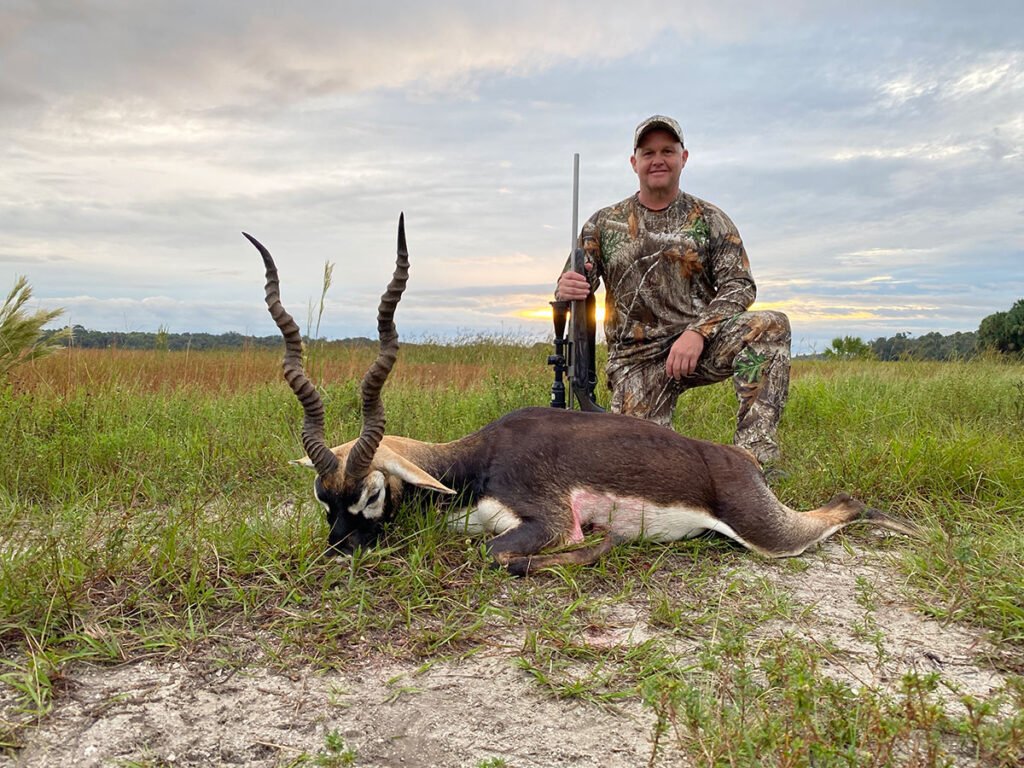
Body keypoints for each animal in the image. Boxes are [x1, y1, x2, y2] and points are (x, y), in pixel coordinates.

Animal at [244, 216, 921, 576]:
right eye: (322, 497)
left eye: (372, 494)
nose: (339, 554)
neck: (476, 464)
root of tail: (738, 460)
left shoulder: (543, 521)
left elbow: (505, 555)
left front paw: (605, 541)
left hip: (767, 530)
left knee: (844, 505)